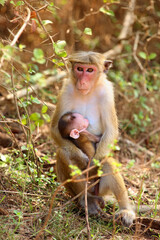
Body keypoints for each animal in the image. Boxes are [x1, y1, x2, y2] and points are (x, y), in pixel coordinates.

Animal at [51, 51, 135, 226]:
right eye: (79, 69)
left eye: (90, 70)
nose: (82, 81)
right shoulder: (66, 88)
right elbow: (55, 128)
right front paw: (81, 157)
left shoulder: (107, 92)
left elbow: (110, 131)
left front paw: (94, 163)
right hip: (74, 188)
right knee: (63, 153)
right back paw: (87, 201)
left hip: (100, 188)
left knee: (107, 161)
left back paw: (125, 210)